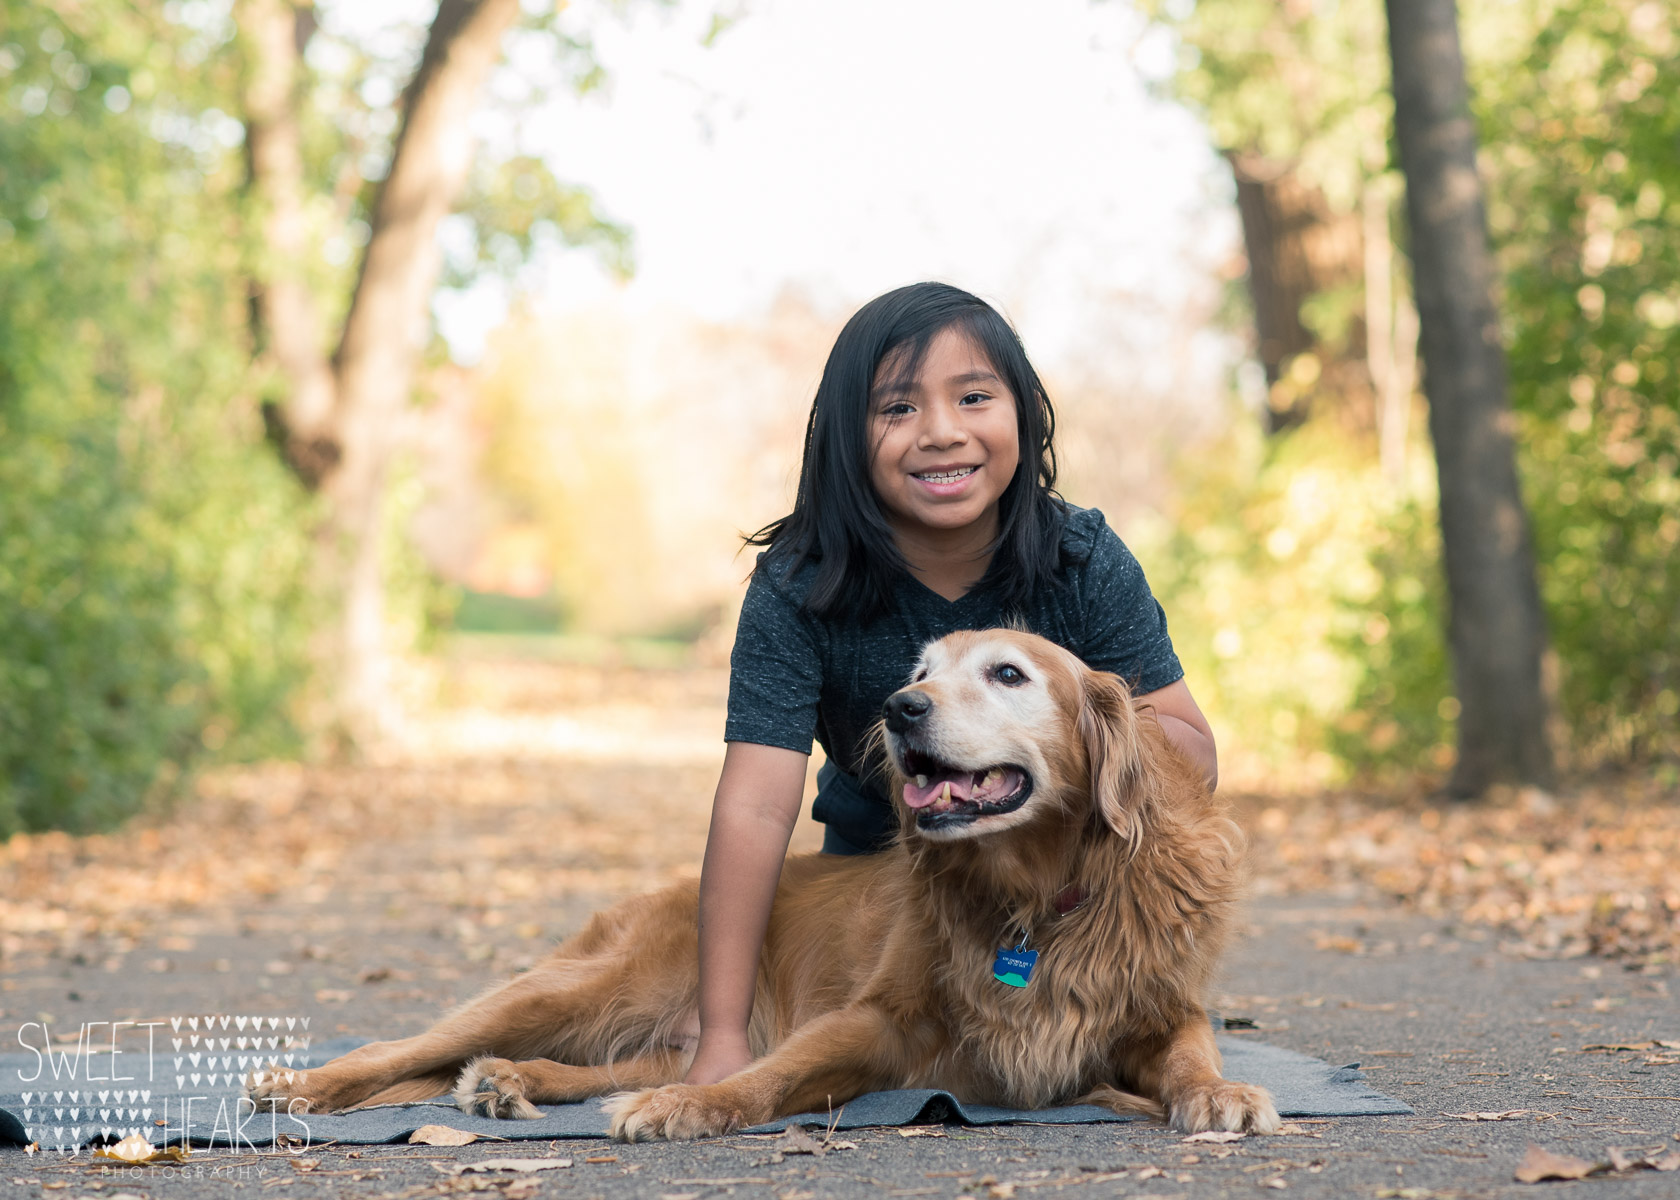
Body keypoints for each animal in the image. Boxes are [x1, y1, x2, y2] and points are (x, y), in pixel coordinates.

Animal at [245, 631, 1270, 1136]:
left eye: (1008, 674)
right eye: (920, 670)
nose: (899, 708)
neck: (1037, 897)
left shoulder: (1160, 1007)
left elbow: (1190, 1053)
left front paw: (1219, 1092)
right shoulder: (875, 1022)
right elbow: (770, 1076)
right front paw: (692, 1112)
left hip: (657, 1033)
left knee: (578, 1067)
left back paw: (505, 1085)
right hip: (573, 985)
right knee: (397, 1047)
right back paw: (297, 1084)